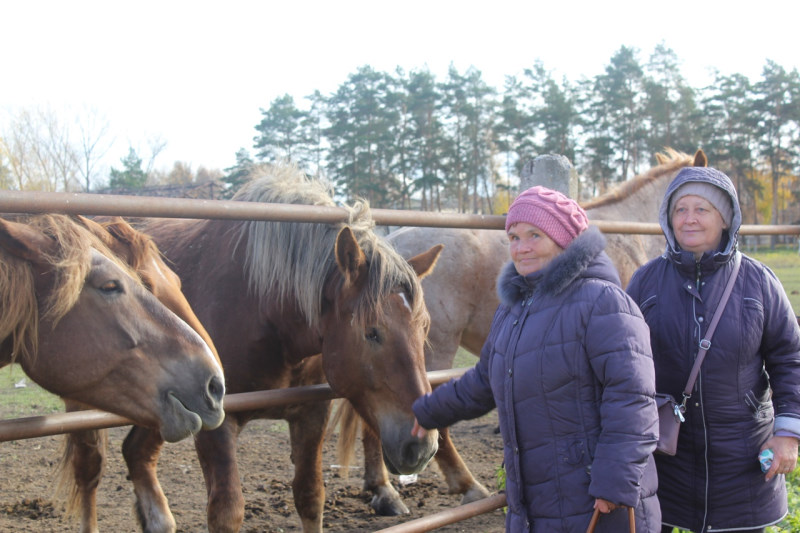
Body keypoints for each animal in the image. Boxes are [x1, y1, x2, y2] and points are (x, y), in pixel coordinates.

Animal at [118, 163, 442, 533]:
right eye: (371, 333)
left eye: (424, 328)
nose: (423, 445)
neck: (260, 305)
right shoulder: (215, 424)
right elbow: (227, 511)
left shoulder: (311, 412)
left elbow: (310, 496)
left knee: (136, 452)